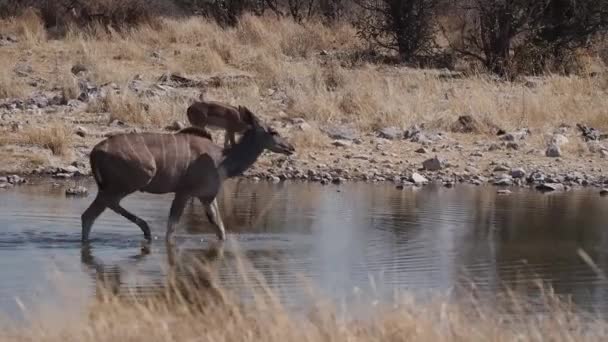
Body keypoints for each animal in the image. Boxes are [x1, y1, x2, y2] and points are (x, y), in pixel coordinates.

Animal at [81, 107, 294, 243]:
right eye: (273, 131)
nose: (290, 147)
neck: (221, 160)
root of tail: (95, 151)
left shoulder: (207, 196)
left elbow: (220, 228)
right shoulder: (184, 192)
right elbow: (171, 228)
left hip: (112, 187)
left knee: (94, 212)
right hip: (132, 181)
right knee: (96, 210)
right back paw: (146, 230)